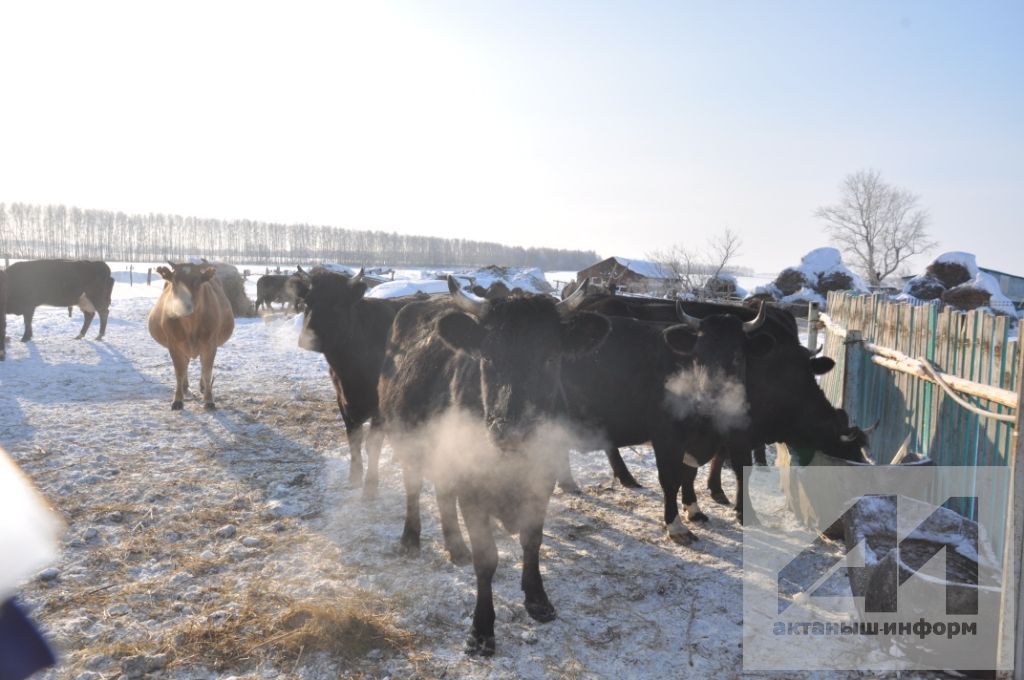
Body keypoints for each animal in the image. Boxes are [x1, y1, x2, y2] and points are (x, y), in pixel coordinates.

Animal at [146, 260, 234, 409]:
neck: (190, 324)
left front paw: (209, 400)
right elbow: (179, 372)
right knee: (185, 365)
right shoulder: (174, 345)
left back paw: (202, 387)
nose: (184, 305)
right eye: (174, 281)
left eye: (197, 281)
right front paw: (177, 400)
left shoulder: (210, 344)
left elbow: (207, 371)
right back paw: (185, 387)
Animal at [380, 278, 610, 655]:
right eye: (487, 357)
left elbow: (533, 541)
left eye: (550, 358)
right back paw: (411, 539)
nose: (510, 430)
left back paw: (455, 546)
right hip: (407, 438)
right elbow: (486, 559)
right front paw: (482, 628)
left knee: (443, 493)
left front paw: (537, 599)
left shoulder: (542, 480)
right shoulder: (472, 488)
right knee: (413, 486)